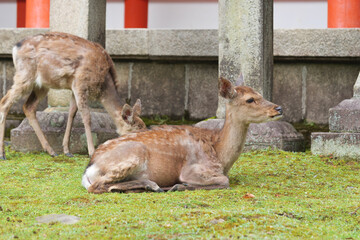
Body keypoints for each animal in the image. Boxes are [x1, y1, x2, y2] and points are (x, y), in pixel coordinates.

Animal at [0, 31, 146, 159]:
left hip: (41, 85)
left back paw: (51, 151)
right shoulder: (80, 81)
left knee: (28, 106)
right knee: (5, 102)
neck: (103, 83)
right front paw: (91, 152)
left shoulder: (73, 86)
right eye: (136, 131)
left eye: (144, 127)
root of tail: (15, 47)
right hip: (25, 75)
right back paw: (3, 154)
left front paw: (67, 150)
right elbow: (86, 116)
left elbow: (72, 112)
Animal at [82, 78, 284, 194]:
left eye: (260, 94)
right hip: (133, 153)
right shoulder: (191, 169)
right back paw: (153, 185)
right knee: (97, 186)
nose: (279, 108)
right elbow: (224, 181)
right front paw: (181, 185)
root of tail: (88, 169)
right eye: (250, 99)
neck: (220, 154)